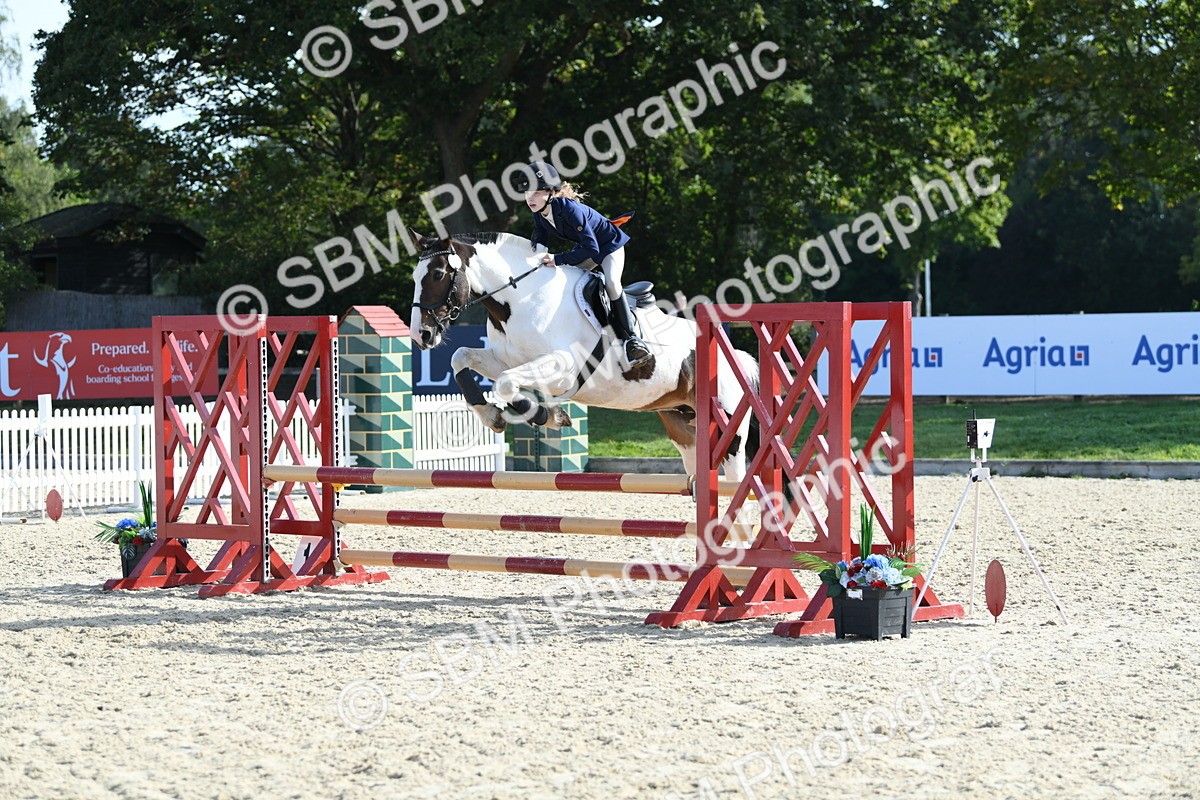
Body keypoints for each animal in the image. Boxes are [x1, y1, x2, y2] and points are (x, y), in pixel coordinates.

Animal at [407, 230, 758, 480]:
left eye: (437, 274)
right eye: (415, 278)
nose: (421, 335)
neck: (521, 300)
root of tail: (738, 356)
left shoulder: (561, 368)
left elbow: (505, 383)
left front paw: (546, 415)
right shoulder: (507, 359)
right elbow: (461, 358)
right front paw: (493, 415)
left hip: (729, 431)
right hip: (681, 423)